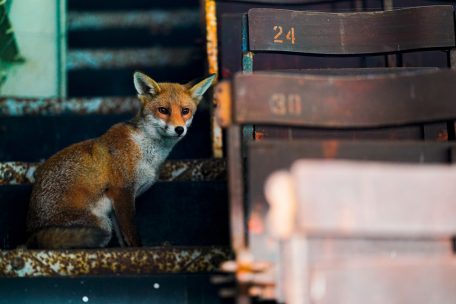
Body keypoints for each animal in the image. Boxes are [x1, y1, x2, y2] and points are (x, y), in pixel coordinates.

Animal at [25, 72, 216, 249]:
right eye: (163, 110)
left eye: (185, 111)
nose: (179, 129)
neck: (145, 151)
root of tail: (32, 234)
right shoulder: (123, 191)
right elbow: (132, 233)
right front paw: (138, 253)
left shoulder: (115, 204)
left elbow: (124, 238)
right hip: (102, 225)